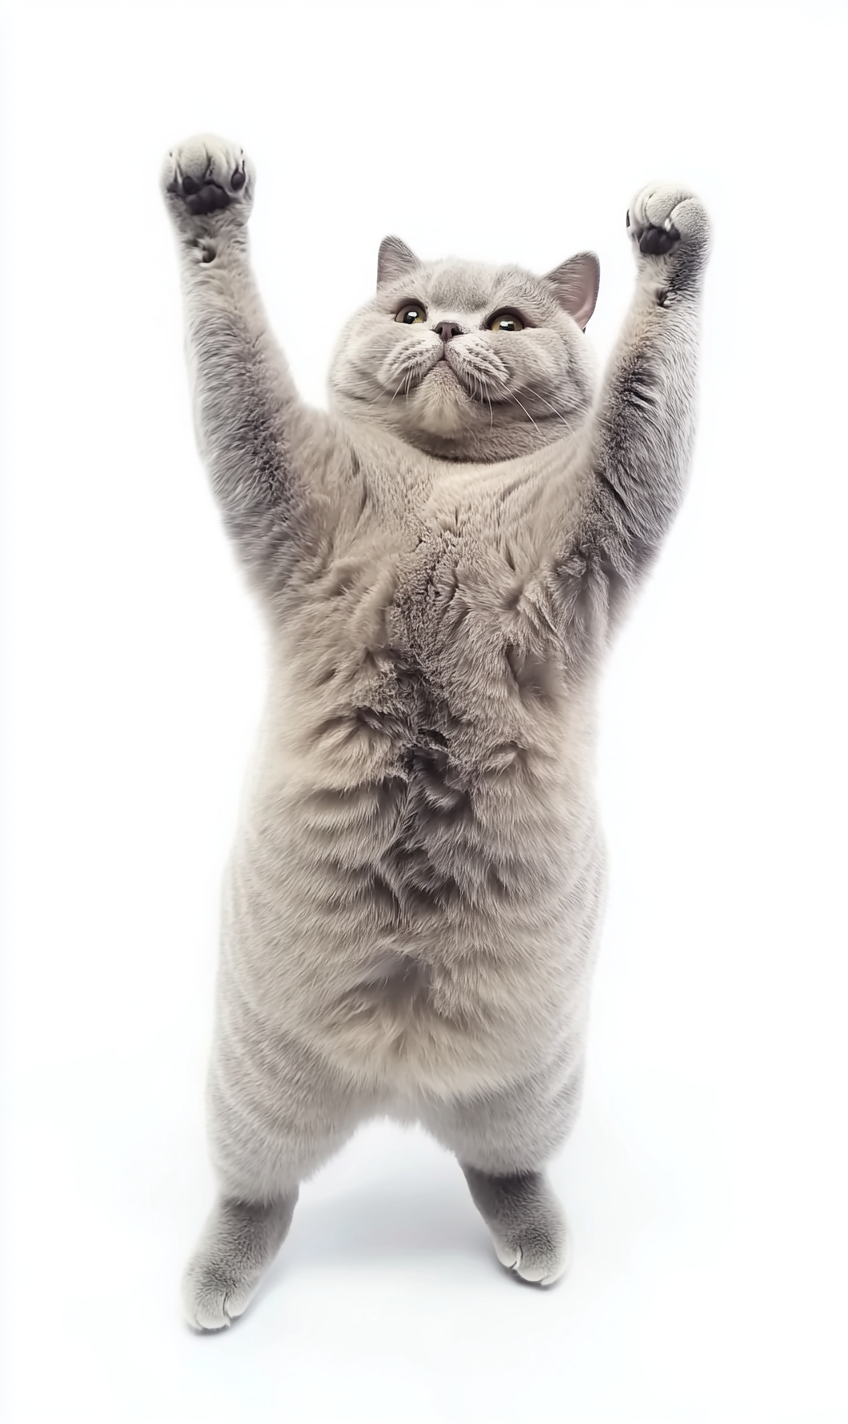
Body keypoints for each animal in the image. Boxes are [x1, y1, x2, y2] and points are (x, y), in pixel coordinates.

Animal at [159, 131, 708, 1321]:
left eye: (504, 321)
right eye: (409, 310)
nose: (448, 330)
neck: (444, 493)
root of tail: (398, 1087)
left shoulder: (603, 503)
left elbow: (643, 385)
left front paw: (668, 237)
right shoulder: (281, 469)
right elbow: (237, 353)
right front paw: (208, 191)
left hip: (533, 1087)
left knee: (498, 1166)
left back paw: (535, 1241)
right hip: (249, 1086)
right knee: (256, 1191)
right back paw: (216, 1282)